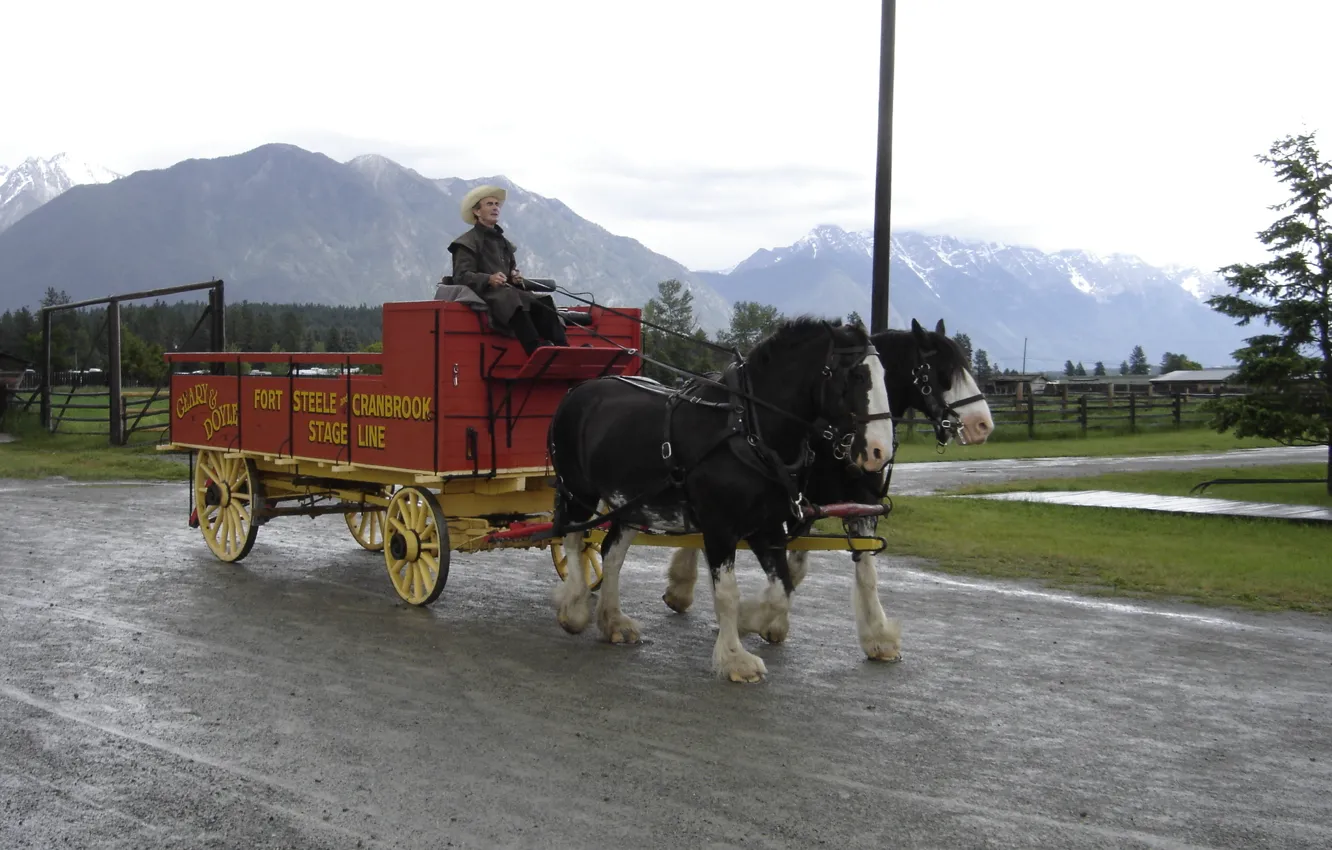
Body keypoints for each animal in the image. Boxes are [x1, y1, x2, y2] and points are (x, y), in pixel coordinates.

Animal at [540, 319, 895, 687]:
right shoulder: (719, 527)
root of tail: (577, 390)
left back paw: (613, 621)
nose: (880, 451)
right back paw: (574, 608)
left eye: (884, 373)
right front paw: (735, 658)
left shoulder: (768, 528)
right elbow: (728, 593)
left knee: (611, 554)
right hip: (578, 491)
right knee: (574, 540)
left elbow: (781, 591)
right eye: (856, 375)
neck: (748, 430)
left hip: (631, 503)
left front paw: (748, 621)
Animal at [660, 317, 996, 663]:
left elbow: (861, 571)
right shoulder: (798, 504)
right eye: (942, 372)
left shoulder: (859, 503)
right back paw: (681, 588)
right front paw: (758, 620)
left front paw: (878, 637)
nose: (982, 425)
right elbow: (792, 569)